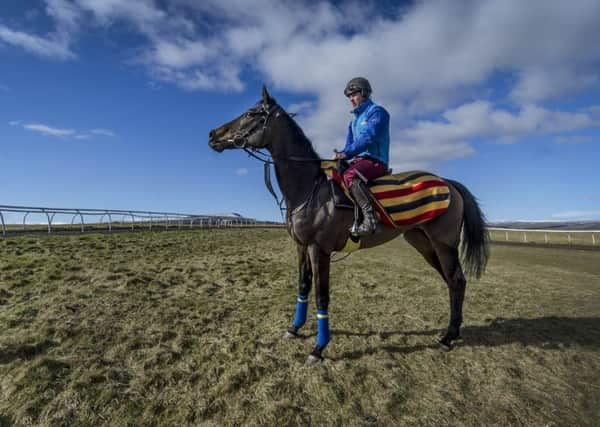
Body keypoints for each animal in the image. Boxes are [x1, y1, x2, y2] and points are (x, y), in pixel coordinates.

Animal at [209, 85, 490, 366]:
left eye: (251, 113)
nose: (213, 135)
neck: (309, 189)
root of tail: (448, 182)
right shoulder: (301, 247)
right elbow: (303, 286)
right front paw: (294, 329)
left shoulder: (319, 250)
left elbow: (322, 296)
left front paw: (318, 348)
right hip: (423, 243)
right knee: (451, 281)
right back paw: (452, 332)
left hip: (444, 245)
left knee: (456, 280)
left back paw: (448, 337)